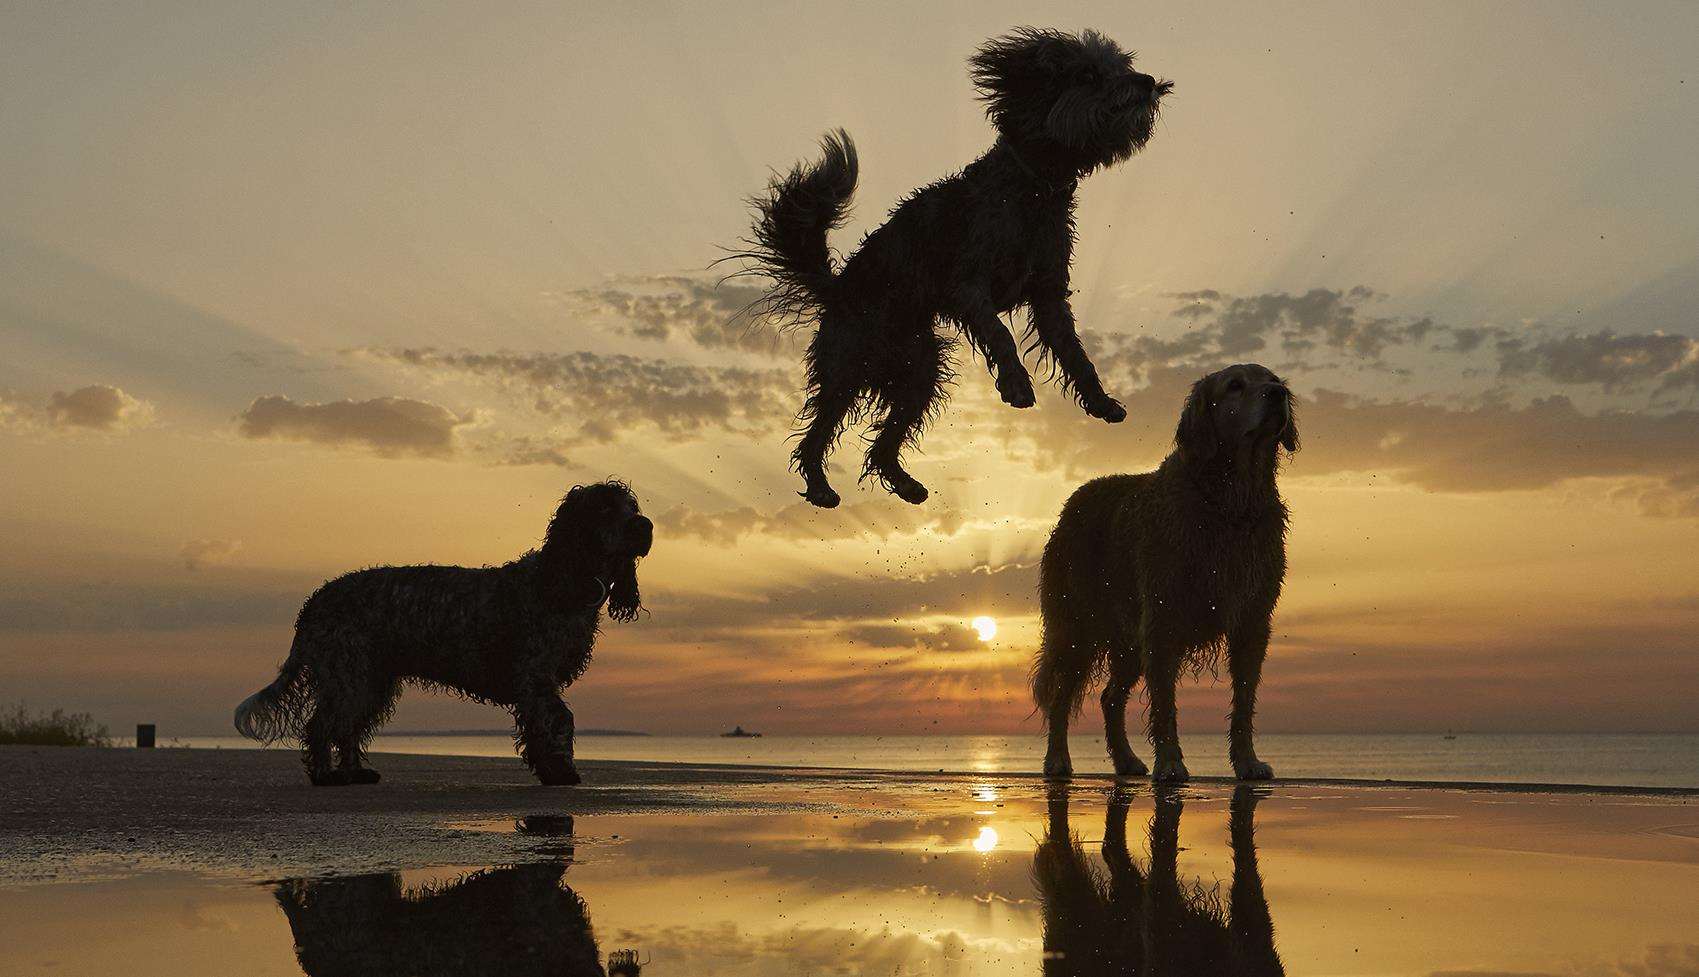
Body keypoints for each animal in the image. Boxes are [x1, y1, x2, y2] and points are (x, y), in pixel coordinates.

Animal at [232, 482, 642, 788]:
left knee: (349, 729)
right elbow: (557, 722)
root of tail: (316, 601)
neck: (560, 580)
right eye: (605, 509)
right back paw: (324, 775)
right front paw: (559, 771)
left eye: (631, 507)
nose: (646, 526)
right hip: (350, 675)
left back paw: (354, 772)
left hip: (371, 680)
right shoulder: (536, 679)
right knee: (323, 725)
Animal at [737, 26, 1175, 509]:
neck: (1032, 189)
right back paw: (819, 486)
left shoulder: (1049, 295)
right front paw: (1016, 385)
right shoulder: (967, 285)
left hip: (918, 371)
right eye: (1089, 74)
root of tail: (837, 287)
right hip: (849, 363)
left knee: (883, 442)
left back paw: (906, 485)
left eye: (1119, 66)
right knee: (817, 432)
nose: (1146, 82)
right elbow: (1000, 334)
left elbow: (1077, 355)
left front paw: (1100, 401)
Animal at [1026, 363, 1291, 784]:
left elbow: (1244, 701)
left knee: (1110, 697)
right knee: (1061, 695)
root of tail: (1074, 501)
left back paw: (1126, 760)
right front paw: (1169, 762)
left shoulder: (1251, 622)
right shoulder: (1163, 619)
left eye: (1273, 379)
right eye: (1235, 385)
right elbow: (1165, 703)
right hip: (1077, 629)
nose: (1278, 394)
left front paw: (1247, 761)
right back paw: (1057, 760)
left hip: (1128, 639)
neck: (1229, 502)